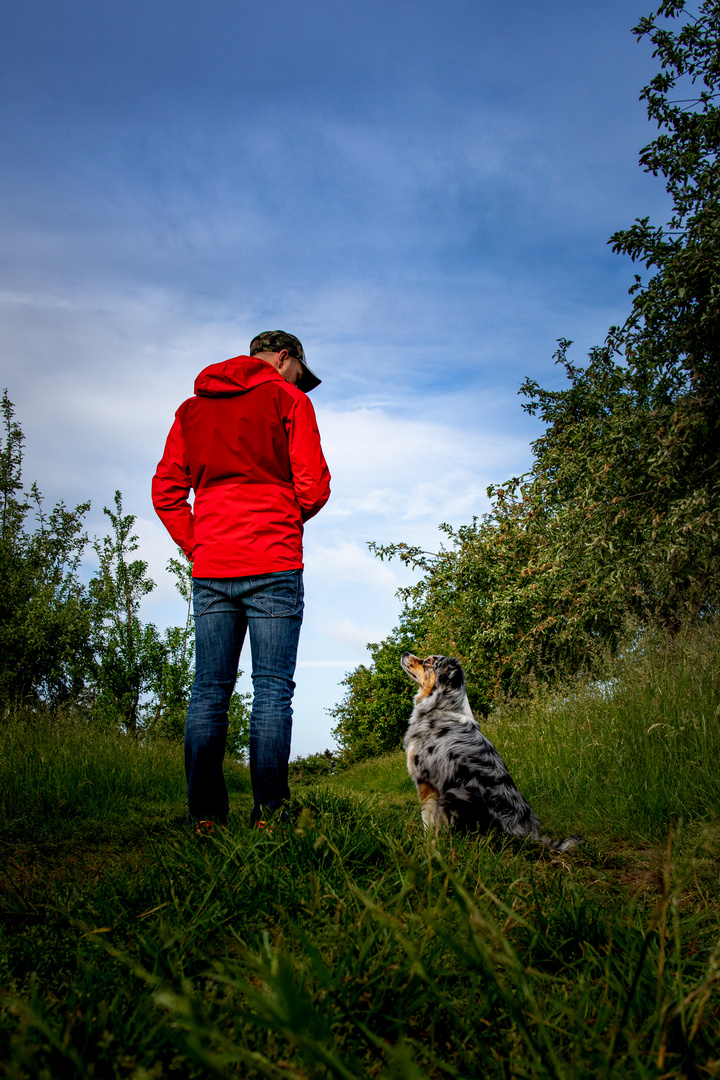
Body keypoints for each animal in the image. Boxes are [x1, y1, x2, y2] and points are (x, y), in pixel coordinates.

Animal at [403, 648, 582, 851]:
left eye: (427, 662)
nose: (405, 652)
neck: (441, 706)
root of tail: (527, 835)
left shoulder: (424, 781)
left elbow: (428, 820)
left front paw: (426, 845)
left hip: (453, 795)